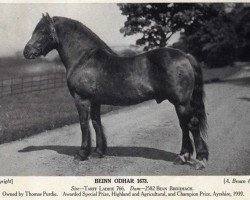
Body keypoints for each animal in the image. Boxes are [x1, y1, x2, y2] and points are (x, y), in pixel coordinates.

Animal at [23, 12, 208, 169]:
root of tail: (184, 55)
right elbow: (96, 123)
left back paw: (199, 160)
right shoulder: (95, 101)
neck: (84, 58)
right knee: (184, 126)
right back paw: (182, 157)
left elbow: (84, 124)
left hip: (181, 102)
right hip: (178, 103)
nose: (26, 52)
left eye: (42, 31)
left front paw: (82, 154)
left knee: (191, 124)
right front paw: (98, 152)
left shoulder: (81, 99)